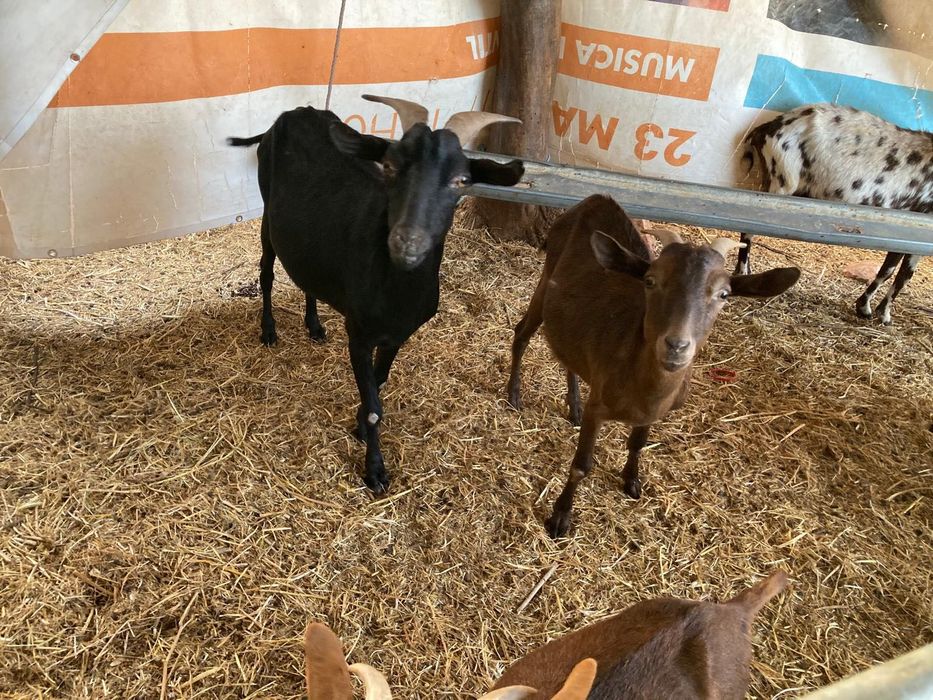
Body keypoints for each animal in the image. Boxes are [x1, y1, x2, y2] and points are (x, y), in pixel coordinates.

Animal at [229, 96, 523, 494]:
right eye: (389, 166)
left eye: (461, 181)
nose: (407, 242)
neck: (396, 291)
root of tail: (293, 113)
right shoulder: (359, 335)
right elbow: (373, 407)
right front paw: (374, 471)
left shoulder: (397, 336)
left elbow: (378, 386)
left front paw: (358, 427)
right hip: (266, 216)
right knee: (266, 272)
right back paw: (269, 330)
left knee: (306, 278)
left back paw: (314, 326)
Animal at [507, 195, 800, 538]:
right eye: (650, 280)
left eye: (724, 294)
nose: (676, 346)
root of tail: (593, 200)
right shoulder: (599, 408)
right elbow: (581, 465)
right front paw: (560, 518)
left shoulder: (654, 412)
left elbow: (638, 444)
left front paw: (632, 481)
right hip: (545, 282)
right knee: (522, 333)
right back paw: (514, 395)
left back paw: (574, 407)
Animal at [737, 102, 932, 325]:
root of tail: (768, 127)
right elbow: (896, 274)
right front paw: (874, 311)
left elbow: (895, 273)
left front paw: (873, 310)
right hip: (782, 182)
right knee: (749, 226)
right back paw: (742, 272)